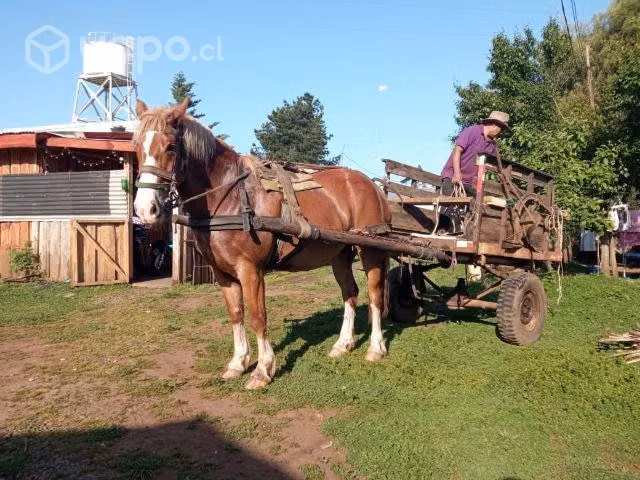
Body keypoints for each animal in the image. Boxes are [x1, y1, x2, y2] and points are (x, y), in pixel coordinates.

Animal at [133, 97, 392, 389]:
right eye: (137, 146)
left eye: (171, 146)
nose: (145, 209)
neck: (231, 196)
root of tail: (372, 186)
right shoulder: (222, 273)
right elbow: (236, 314)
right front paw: (237, 363)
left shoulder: (250, 270)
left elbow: (258, 316)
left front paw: (262, 370)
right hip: (339, 253)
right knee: (350, 292)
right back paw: (343, 344)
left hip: (369, 250)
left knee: (374, 296)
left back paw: (376, 348)